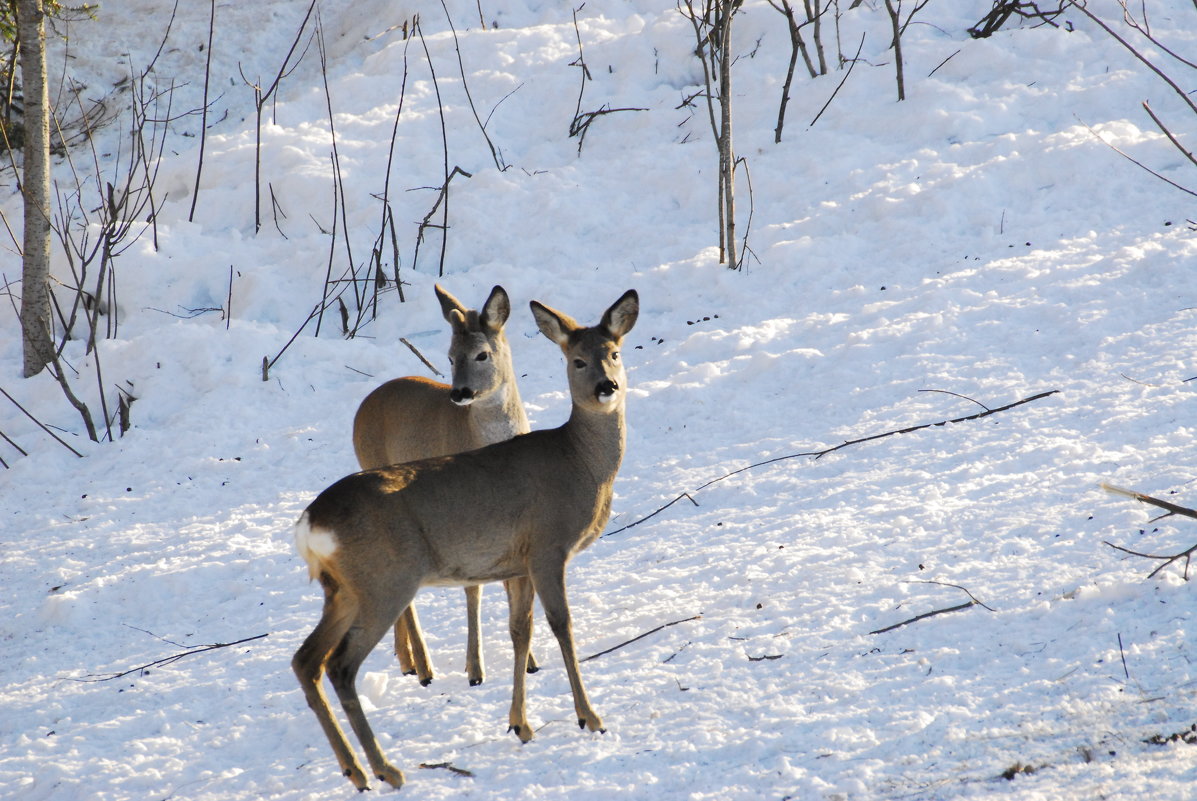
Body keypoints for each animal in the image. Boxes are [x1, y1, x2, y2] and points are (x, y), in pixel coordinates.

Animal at [351, 283, 536, 684]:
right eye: (450, 357)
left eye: (482, 354)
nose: (459, 393)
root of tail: (362, 408)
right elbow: (473, 589)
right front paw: (475, 670)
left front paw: (529, 660)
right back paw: (424, 668)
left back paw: (406, 660)